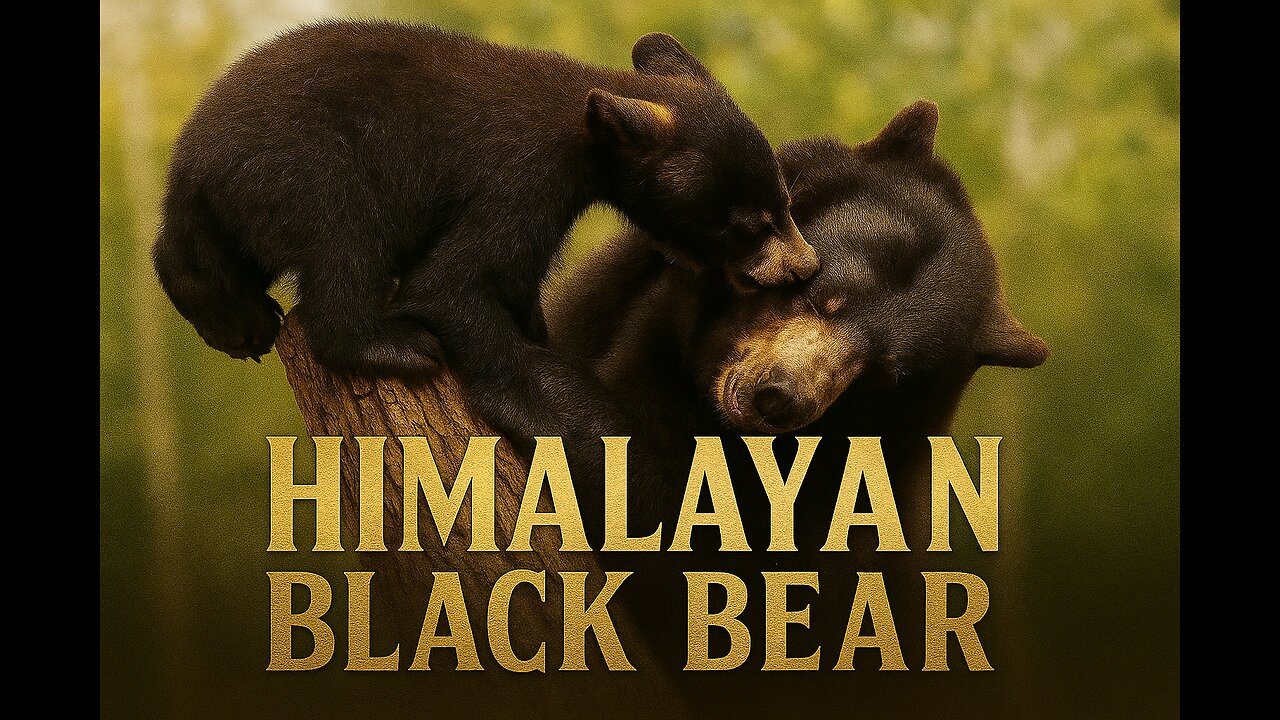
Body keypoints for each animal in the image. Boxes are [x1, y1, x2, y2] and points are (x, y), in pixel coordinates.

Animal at [152, 19, 818, 460]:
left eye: (785, 203)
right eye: (751, 223)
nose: (804, 267)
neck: (586, 130)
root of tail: (189, 166)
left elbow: (515, 283)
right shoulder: (523, 179)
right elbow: (453, 284)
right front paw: (564, 415)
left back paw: (238, 322)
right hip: (307, 165)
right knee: (345, 240)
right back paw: (390, 345)